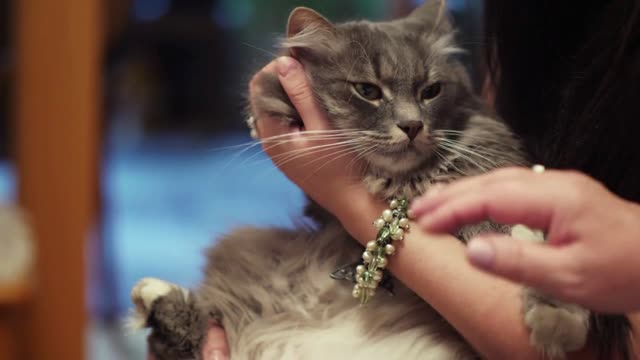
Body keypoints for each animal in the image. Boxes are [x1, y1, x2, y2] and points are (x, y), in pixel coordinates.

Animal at [127, 2, 592, 360]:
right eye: (367, 91)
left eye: (431, 91)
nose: (412, 126)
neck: (405, 183)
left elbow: (537, 254)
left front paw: (556, 322)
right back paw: (152, 294)